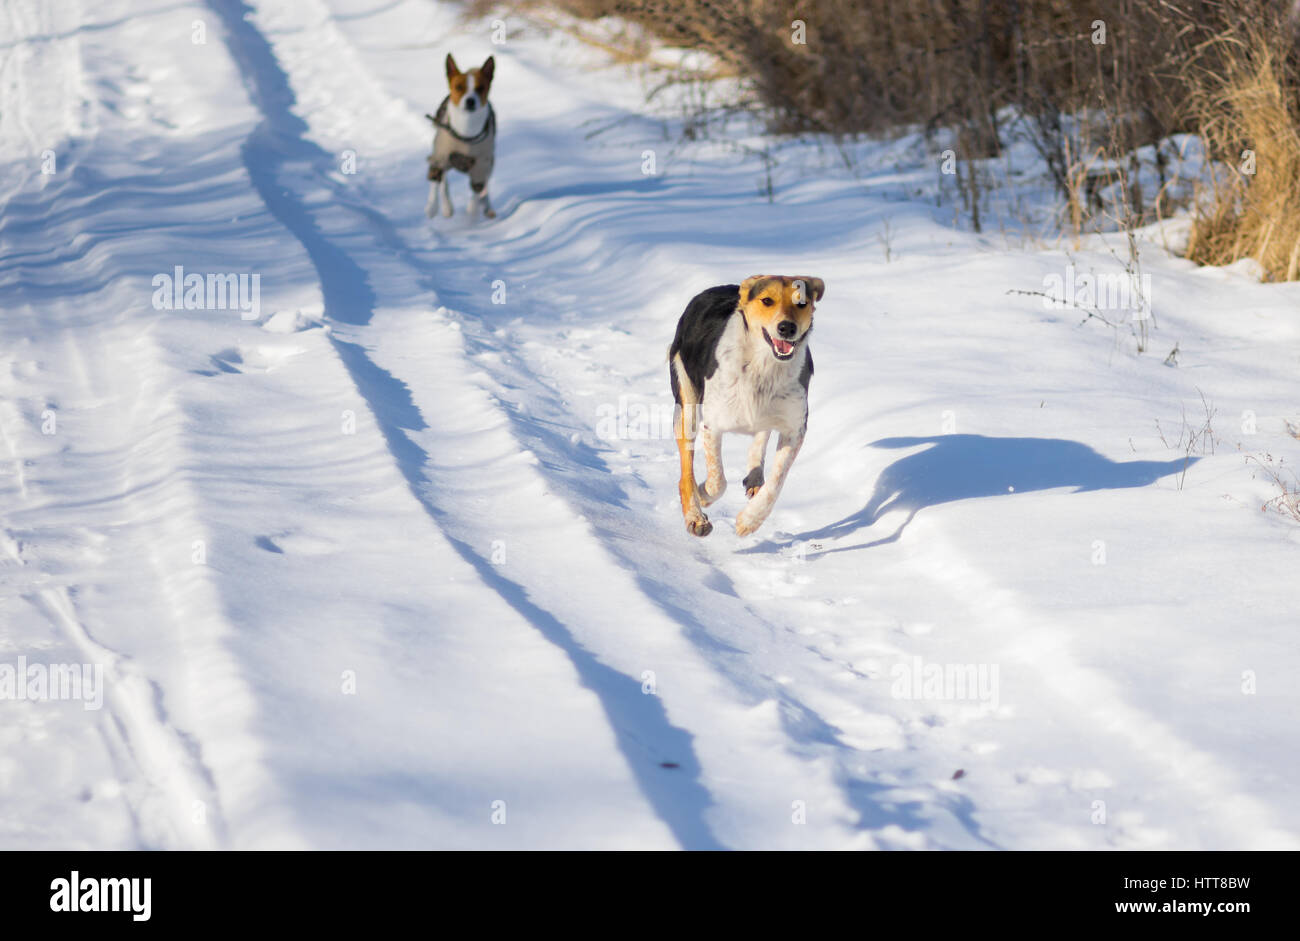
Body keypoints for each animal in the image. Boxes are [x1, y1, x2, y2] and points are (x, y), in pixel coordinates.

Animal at [423, 54, 493, 219]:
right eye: (459, 87)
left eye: (480, 88)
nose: (470, 101)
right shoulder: (440, 156)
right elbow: (435, 182)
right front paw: (432, 207)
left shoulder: (482, 164)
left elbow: (477, 189)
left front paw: (472, 211)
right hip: (443, 157)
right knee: (442, 181)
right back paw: (447, 208)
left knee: (484, 187)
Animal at [670, 274, 821, 535]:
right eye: (767, 301)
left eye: (801, 302)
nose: (787, 328)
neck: (764, 365)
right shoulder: (713, 424)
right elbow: (717, 480)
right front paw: (703, 496)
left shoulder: (794, 428)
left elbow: (776, 482)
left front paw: (749, 521)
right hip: (686, 402)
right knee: (685, 471)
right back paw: (695, 516)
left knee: (761, 435)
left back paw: (754, 477)